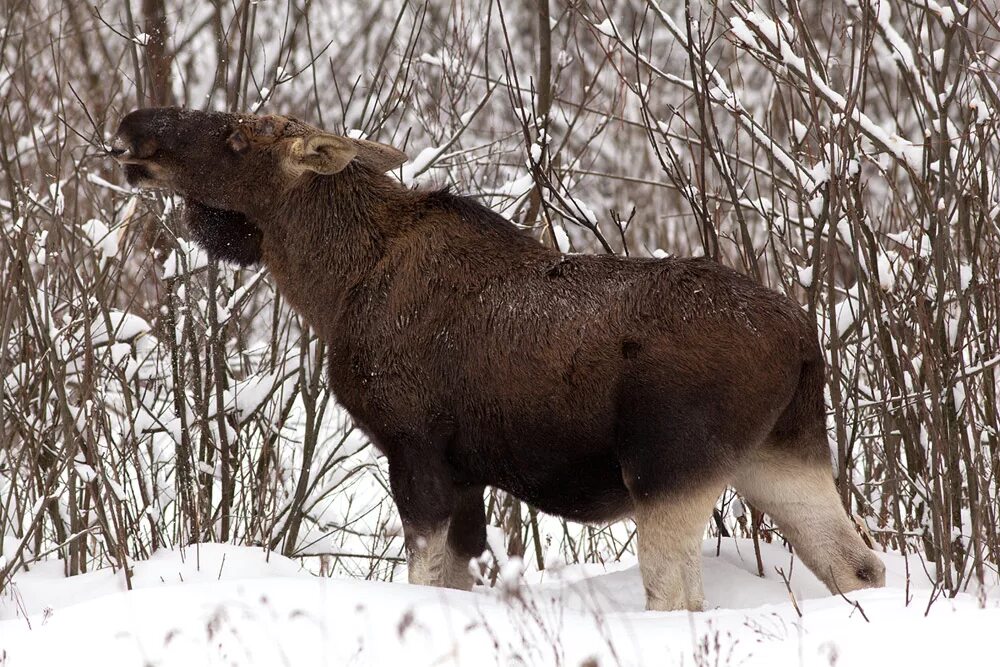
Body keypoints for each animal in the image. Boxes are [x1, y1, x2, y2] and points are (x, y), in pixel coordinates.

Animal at [113, 108, 888, 612]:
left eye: (236, 135)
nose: (133, 123)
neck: (333, 286)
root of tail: (803, 340)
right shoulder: (466, 473)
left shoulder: (416, 448)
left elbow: (426, 578)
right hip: (783, 452)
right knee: (859, 564)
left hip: (669, 469)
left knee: (678, 596)